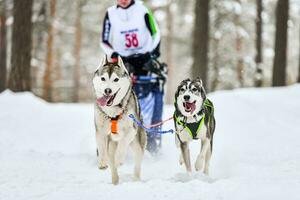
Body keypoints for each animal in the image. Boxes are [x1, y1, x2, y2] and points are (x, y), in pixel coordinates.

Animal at [92, 55, 146, 184]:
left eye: (116, 79)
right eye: (103, 78)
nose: (107, 90)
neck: (113, 113)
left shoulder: (130, 131)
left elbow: (122, 145)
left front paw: (119, 159)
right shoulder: (101, 131)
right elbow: (102, 148)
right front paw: (102, 163)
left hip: (137, 144)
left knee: (137, 163)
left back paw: (135, 179)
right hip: (111, 145)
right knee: (111, 161)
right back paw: (115, 180)